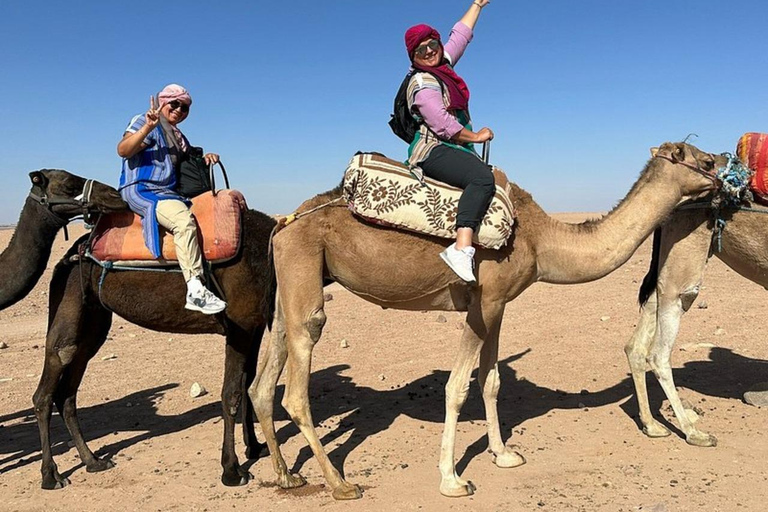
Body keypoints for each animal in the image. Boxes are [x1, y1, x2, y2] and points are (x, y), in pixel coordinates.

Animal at [0, 171, 276, 488]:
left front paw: (255, 447)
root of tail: (71, 255)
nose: (110, 195)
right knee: (47, 386)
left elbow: (248, 385)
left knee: (67, 392)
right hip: (67, 309)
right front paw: (232, 470)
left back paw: (93, 461)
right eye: (68, 185)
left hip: (93, 321)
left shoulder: (253, 326)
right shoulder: (238, 327)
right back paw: (51, 475)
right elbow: (231, 392)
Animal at [250, 141, 728, 500]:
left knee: (263, 381)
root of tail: (283, 223)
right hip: (304, 268)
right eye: (704, 160)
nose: (726, 171)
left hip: (293, 281)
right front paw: (452, 479)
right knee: (297, 383)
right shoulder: (484, 302)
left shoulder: (497, 303)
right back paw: (339, 483)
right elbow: (457, 387)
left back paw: (286, 475)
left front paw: (504, 454)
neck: (540, 240)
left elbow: (492, 381)